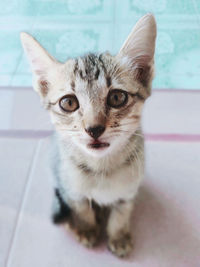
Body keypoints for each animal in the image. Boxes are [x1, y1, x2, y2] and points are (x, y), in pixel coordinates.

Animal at [21, 13, 157, 258]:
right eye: (68, 102)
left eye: (117, 97)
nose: (94, 129)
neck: (102, 168)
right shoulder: (72, 190)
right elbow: (82, 209)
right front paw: (87, 229)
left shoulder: (128, 193)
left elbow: (121, 214)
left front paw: (118, 235)